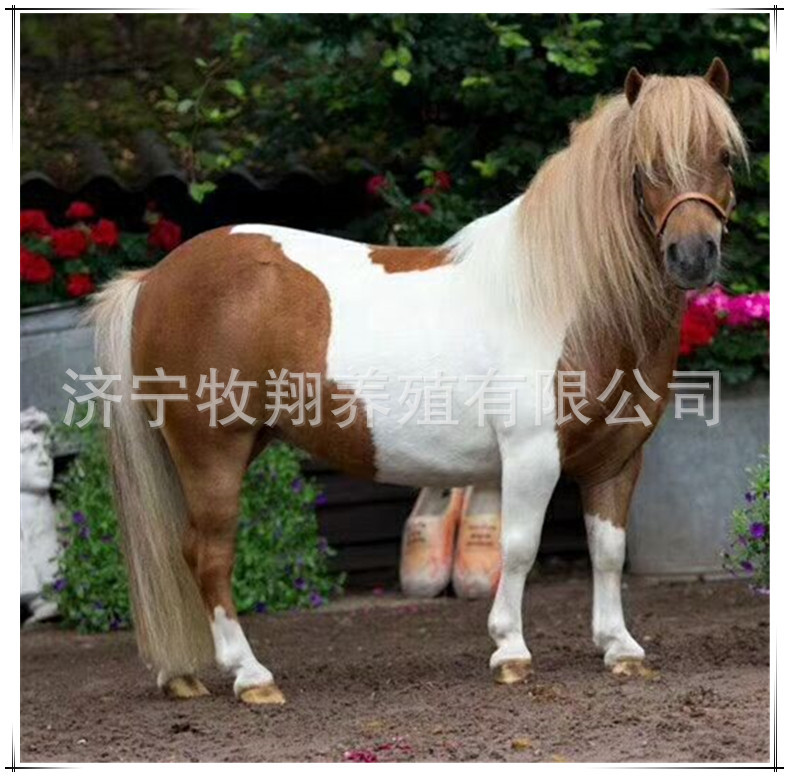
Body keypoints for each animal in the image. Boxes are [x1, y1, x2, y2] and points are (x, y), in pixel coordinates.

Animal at [91, 59, 745, 704]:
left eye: (723, 156)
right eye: (647, 164)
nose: (693, 256)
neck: (564, 299)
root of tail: (154, 280)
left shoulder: (617, 459)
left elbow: (608, 551)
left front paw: (620, 648)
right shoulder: (531, 455)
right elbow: (519, 547)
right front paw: (511, 651)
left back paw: (185, 676)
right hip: (213, 451)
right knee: (210, 554)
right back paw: (252, 677)